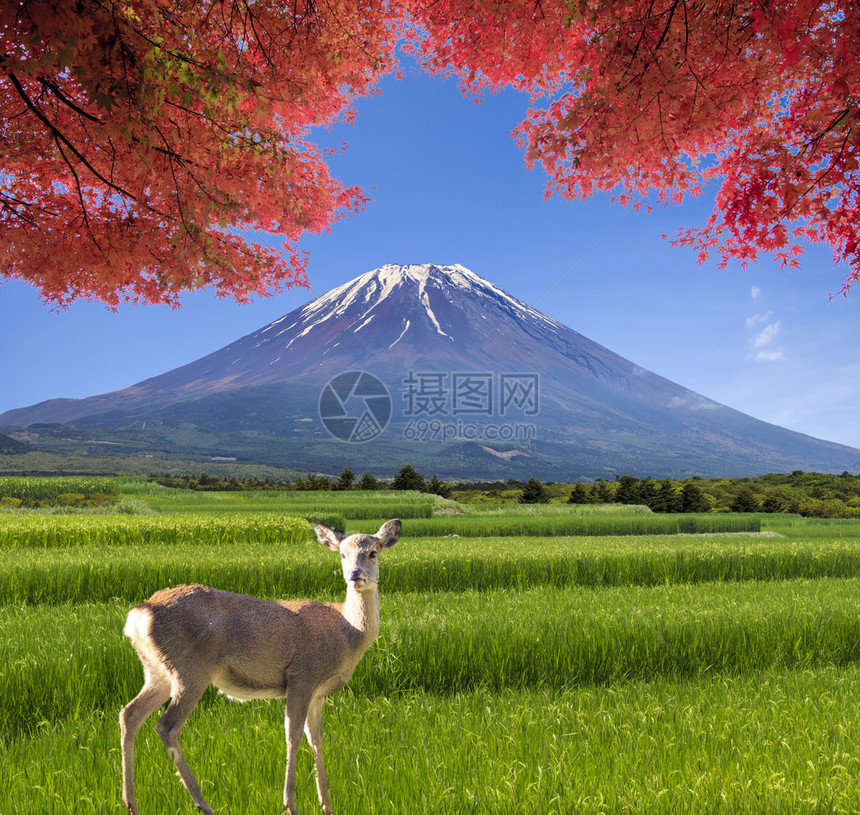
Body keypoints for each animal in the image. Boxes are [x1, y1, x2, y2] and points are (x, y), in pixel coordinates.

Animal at [119, 520, 402, 812]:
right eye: (343, 554)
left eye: (373, 553)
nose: (355, 575)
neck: (346, 632)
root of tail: (139, 614)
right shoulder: (303, 675)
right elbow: (293, 736)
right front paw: (290, 804)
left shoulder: (319, 692)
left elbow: (317, 740)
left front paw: (327, 806)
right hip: (191, 668)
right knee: (167, 726)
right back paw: (203, 804)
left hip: (158, 671)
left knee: (130, 713)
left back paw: (130, 803)